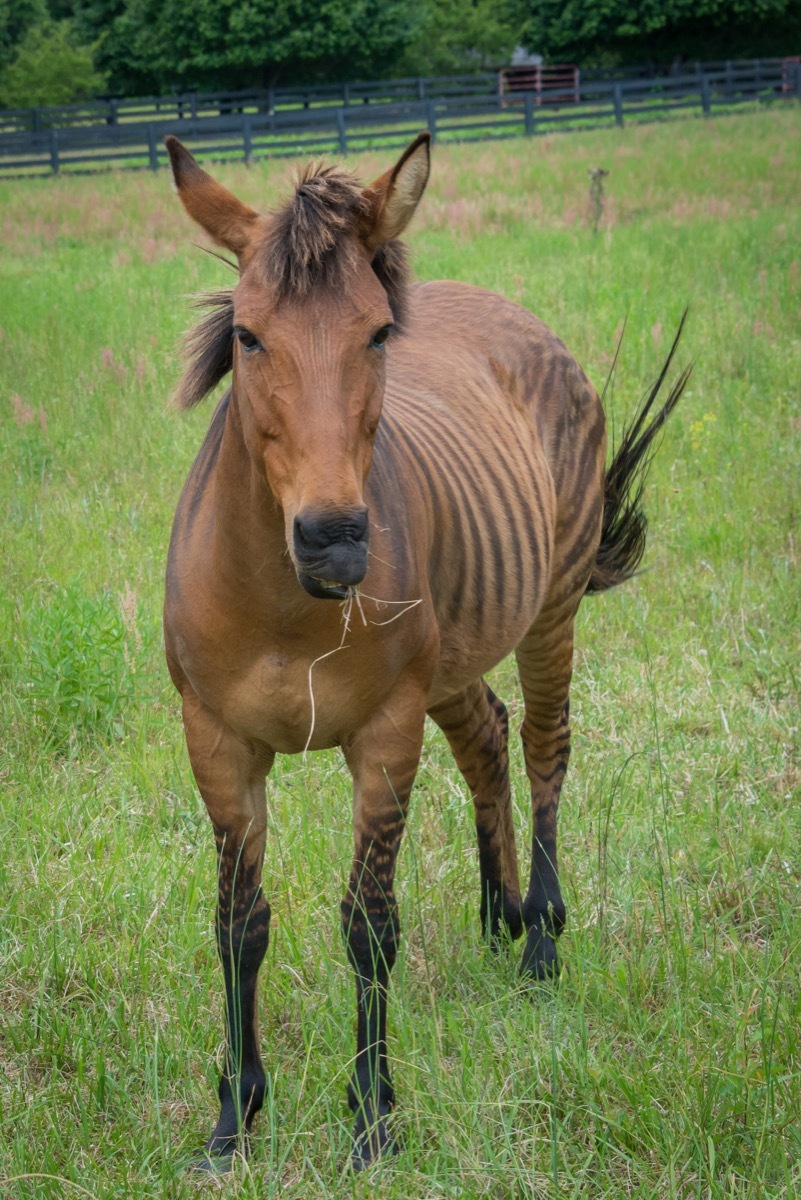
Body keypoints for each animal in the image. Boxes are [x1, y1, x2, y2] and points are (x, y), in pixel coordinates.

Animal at [162, 131, 689, 1171]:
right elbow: (238, 926)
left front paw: (372, 1115)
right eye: (247, 337)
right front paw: (234, 1118)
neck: (284, 608)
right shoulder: (217, 743)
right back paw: (501, 915)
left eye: (375, 336)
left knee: (544, 748)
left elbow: (369, 926)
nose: (333, 541)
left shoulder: (383, 732)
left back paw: (541, 941)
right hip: (457, 655)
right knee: (486, 736)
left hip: (547, 612)